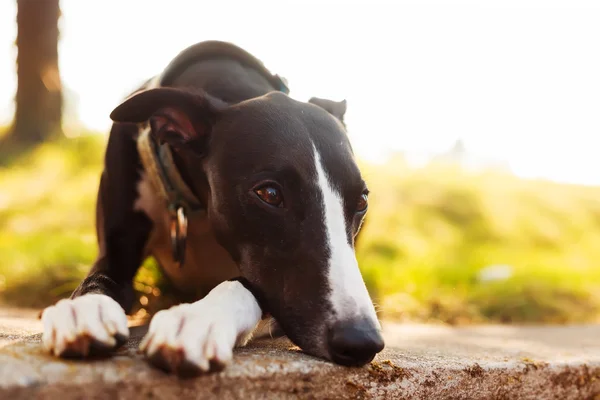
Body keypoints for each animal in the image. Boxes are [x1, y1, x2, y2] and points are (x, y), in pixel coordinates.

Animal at [39, 40, 384, 376]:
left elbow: (249, 284)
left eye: (361, 202)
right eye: (270, 193)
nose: (362, 340)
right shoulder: (115, 249)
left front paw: (197, 320)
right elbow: (97, 278)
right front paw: (84, 309)